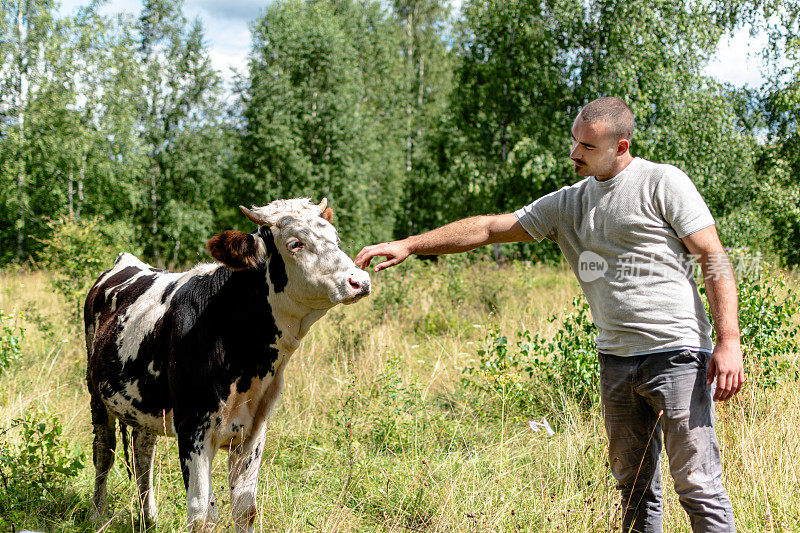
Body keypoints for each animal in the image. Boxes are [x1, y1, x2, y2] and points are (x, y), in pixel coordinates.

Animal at [83, 197, 370, 528]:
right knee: (103, 453)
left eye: (335, 238)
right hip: (96, 395)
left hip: (144, 404)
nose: (360, 281)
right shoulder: (192, 428)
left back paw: (149, 519)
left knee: (143, 453)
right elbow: (201, 512)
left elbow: (245, 509)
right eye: (295, 243)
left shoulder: (253, 431)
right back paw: (96, 514)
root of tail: (127, 262)